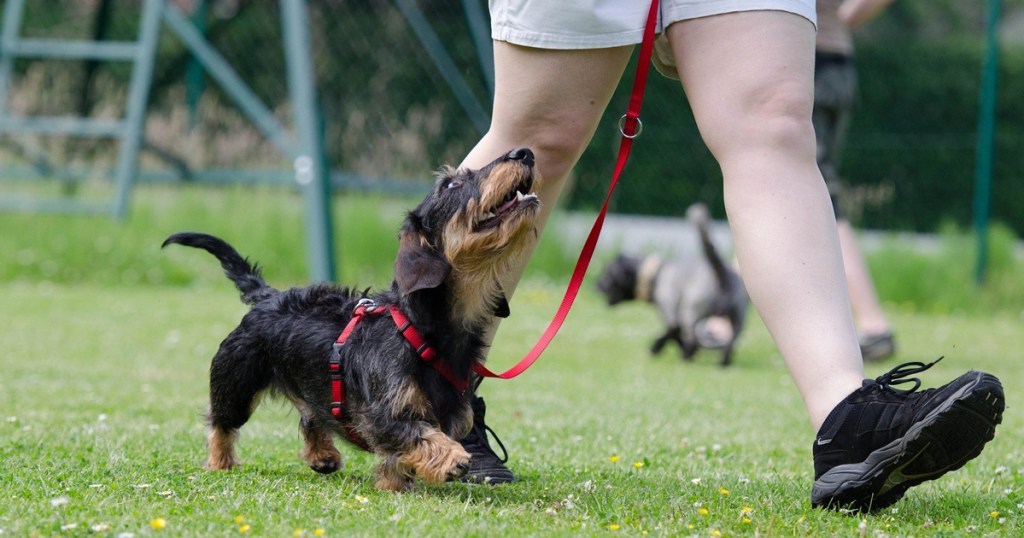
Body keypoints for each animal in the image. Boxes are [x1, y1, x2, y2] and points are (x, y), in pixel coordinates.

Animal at [161, 146, 536, 489]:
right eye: (451, 184)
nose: (524, 152)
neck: (420, 329)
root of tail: (269, 296)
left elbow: (401, 455)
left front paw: (395, 483)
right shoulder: (382, 416)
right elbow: (419, 434)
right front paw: (453, 457)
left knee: (310, 416)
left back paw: (322, 455)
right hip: (235, 383)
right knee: (221, 423)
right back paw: (220, 462)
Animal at [598, 203, 749, 366]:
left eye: (608, 274)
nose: (596, 285)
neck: (656, 274)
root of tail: (721, 272)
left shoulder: (671, 315)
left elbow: (672, 334)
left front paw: (656, 348)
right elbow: (674, 335)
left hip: (691, 312)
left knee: (692, 337)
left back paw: (686, 357)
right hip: (737, 319)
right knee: (731, 342)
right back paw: (722, 363)